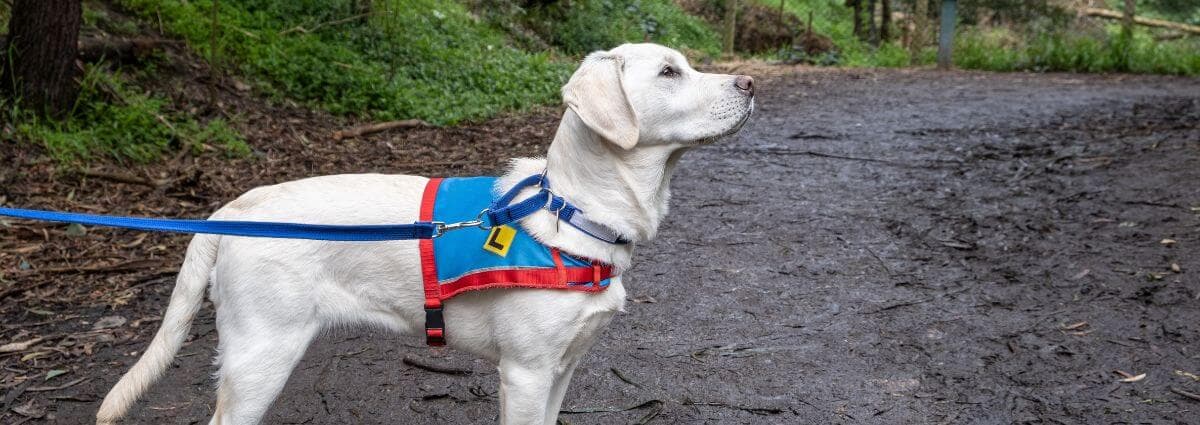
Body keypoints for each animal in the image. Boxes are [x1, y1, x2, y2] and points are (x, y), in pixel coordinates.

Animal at [96, 41, 748, 422]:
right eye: (669, 72)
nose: (747, 84)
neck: (571, 207)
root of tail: (236, 207)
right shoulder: (526, 373)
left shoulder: (562, 369)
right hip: (261, 357)